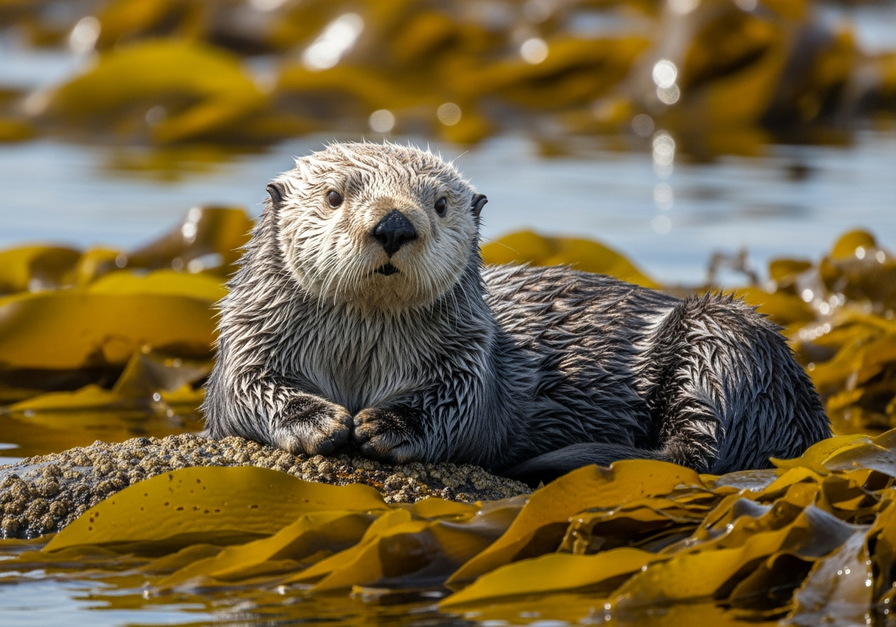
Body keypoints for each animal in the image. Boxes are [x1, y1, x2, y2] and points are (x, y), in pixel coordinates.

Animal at [202, 142, 831, 485]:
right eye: (335, 196)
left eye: (440, 203)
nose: (394, 224)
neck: (360, 362)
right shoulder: (249, 341)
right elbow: (244, 392)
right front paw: (317, 420)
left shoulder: (468, 360)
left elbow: (459, 409)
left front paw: (387, 425)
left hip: (723, 340)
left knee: (699, 451)